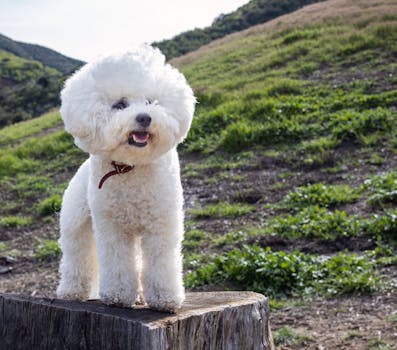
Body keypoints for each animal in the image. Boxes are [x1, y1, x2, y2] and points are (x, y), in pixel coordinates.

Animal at [56, 45, 196, 312]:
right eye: (120, 104)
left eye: (151, 102)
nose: (145, 117)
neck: (130, 167)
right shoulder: (112, 228)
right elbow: (117, 263)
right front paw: (119, 295)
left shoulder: (161, 224)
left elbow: (161, 262)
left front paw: (164, 297)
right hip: (75, 224)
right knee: (76, 256)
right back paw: (71, 291)